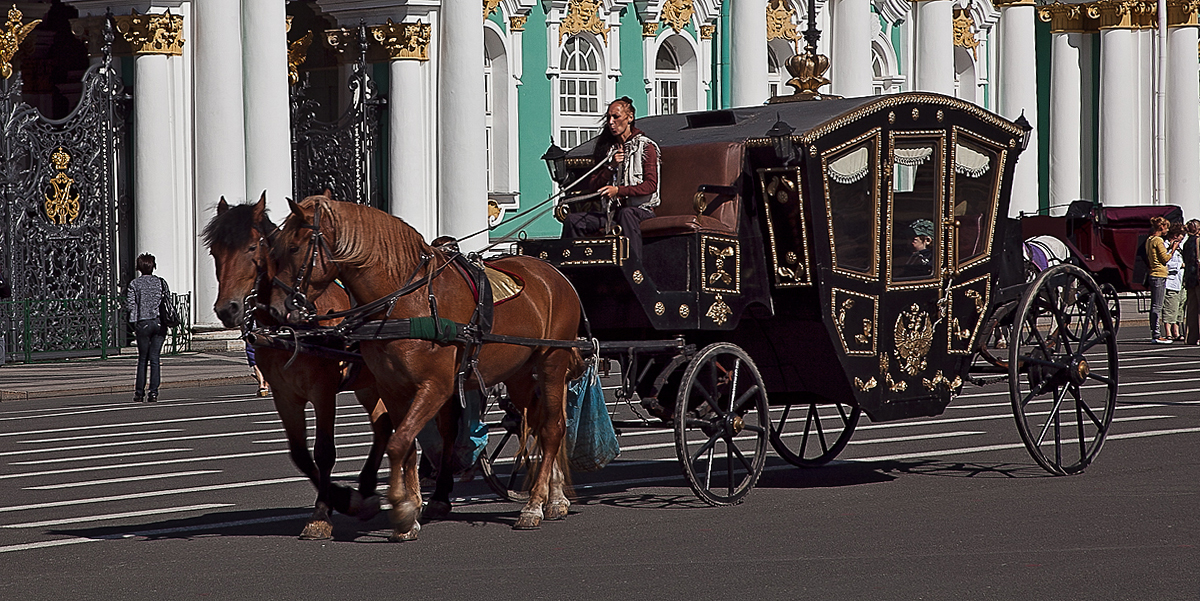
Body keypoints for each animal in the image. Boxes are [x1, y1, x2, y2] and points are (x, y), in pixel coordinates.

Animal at [204, 193, 393, 539]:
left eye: (251, 248)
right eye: (215, 251)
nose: (228, 309)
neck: (290, 326)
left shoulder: (323, 391)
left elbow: (324, 451)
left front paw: (322, 515)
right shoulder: (285, 395)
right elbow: (300, 454)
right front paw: (346, 499)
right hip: (370, 384)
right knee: (385, 425)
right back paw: (368, 489)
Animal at [268, 195, 585, 539]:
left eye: (294, 248)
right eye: (274, 250)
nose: (274, 310)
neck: (408, 301)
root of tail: (555, 273)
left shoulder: (435, 387)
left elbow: (398, 443)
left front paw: (403, 509)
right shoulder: (392, 389)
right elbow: (405, 445)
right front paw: (411, 510)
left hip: (551, 363)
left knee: (553, 429)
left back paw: (535, 505)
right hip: (521, 376)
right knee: (539, 423)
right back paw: (556, 498)